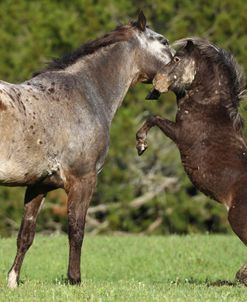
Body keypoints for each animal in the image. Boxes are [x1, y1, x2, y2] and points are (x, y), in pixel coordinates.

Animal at [0, 12, 174, 288]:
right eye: (164, 42)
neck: (84, 93)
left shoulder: (38, 185)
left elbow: (25, 235)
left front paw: (13, 281)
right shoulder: (83, 180)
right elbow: (76, 229)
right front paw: (75, 279)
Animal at [136, 37, 247, 284]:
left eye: (177, 59)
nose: (155, 83)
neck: (207, 106)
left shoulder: (179, 134)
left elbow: (153, 118)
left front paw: (140, 144)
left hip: (237, 219)